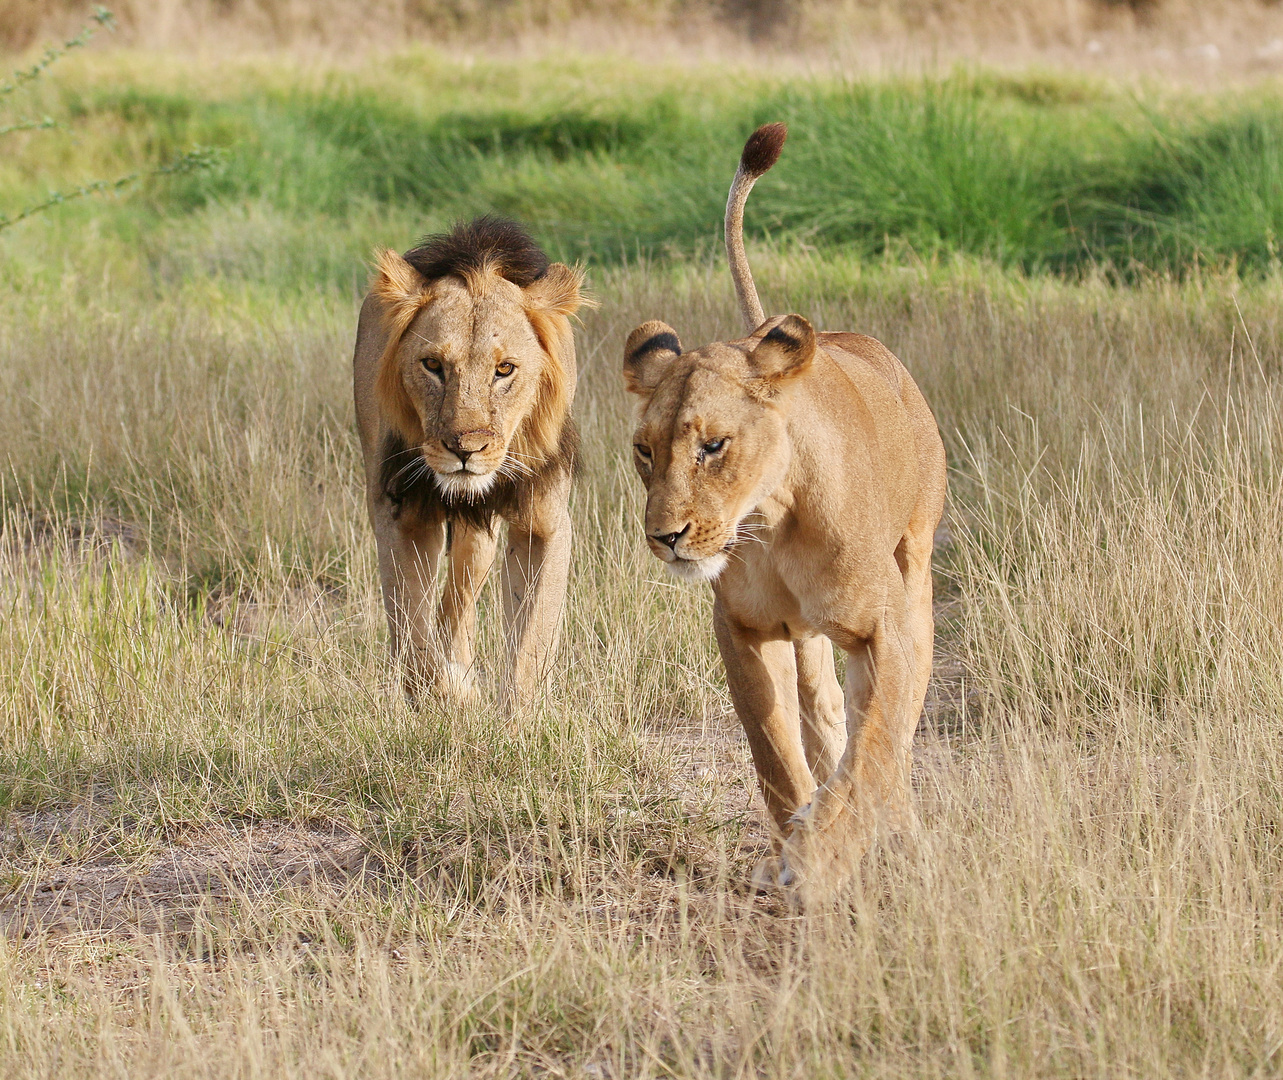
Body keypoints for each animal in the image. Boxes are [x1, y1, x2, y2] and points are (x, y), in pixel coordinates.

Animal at [354, 216, 587, 708]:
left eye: (505, 370)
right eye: (432, 365)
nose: (465, 449)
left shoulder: (545, 523)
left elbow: (532, 641)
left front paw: (518, 718)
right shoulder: (399, 512)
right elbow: (413, 640)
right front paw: (457, 694)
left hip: (480, 539)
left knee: (458, 602)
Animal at [623, 126, 954, 902]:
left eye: (713, 445)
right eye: (644, 451)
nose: (664, 537)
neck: (771, 524)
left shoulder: (885, 628)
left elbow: (874, 749)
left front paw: (823, 857)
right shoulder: (742, 629)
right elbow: (774, 750)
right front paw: (794, 841)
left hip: (915, 564)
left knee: (880, 725)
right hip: (805, 635)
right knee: (822, 705)